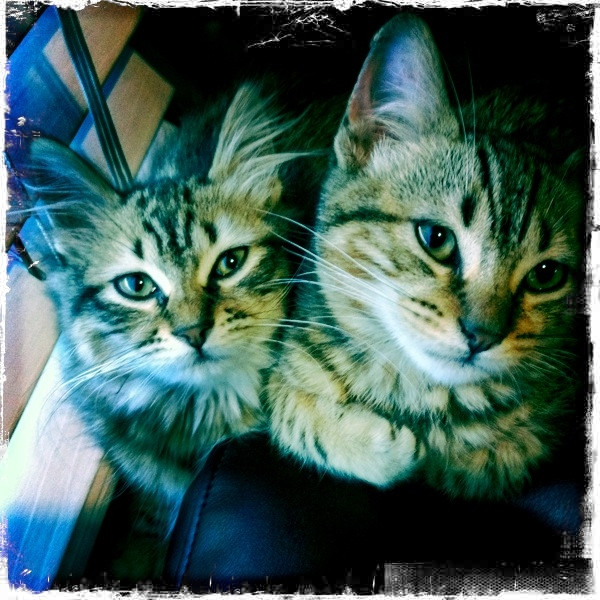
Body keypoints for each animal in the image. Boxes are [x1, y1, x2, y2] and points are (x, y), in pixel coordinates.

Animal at [264, 15, 584, 502]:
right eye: (436, 238)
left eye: (547, 274)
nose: (481, 335)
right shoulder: (286, 366)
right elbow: (292, 413)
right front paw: (384, 446)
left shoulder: (536, 437)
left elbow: (495, 458)